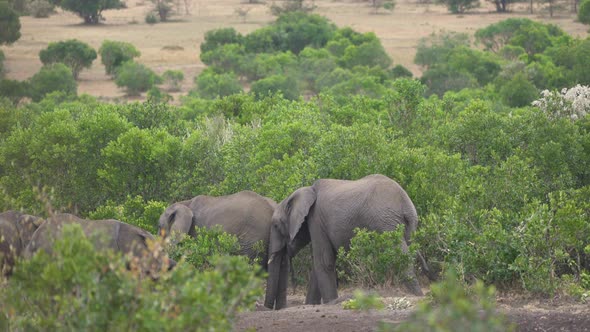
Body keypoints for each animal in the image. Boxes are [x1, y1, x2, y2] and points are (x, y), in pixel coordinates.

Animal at [264, 174, 426, 308]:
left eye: (276, 225)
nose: (269, 308)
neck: (307, 191)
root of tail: (406, 204)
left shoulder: (316, 220)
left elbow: (323, 261)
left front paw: (330, 302)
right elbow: (319, 264)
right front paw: (311, 305)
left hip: (385, 222)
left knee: (401, 253)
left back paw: (416, 295)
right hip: (405, 226)